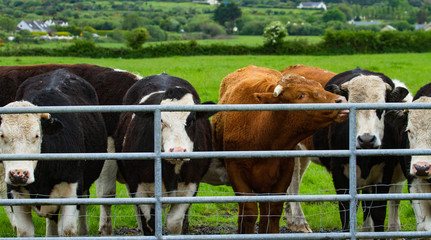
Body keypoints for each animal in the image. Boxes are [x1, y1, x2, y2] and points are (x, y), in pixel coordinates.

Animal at [115, 72, 216, 234]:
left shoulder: (190, 185)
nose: (178, 150)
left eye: (192, 120)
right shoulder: (139, 187)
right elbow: (150, 224)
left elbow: (174, 223)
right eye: (161, 120)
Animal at [213, 64, 352, 233]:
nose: (341, 100)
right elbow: (249, 212)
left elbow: (273, 210)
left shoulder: (284, 174)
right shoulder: (236, 173)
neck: (261, 131)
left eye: (319, 86)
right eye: (301, 95)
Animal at [314, 67, 412, 234]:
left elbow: (378, 212)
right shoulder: (339, 173)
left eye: (381, 108)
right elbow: (346, 212)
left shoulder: (385, 174)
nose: (367, 139)